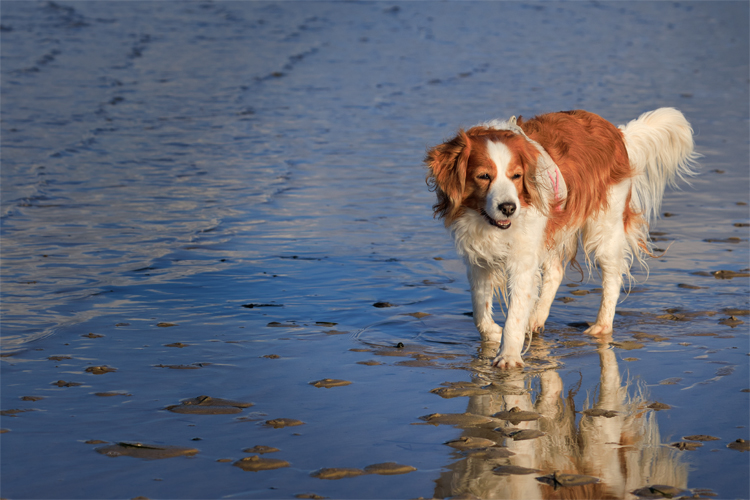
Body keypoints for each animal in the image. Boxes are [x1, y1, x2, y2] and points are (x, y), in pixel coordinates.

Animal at [428, 108, 700, 368]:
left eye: (516, 176)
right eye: (484, 176)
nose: (508, 208)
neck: (488, 222)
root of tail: (616, 131)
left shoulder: (523, 258)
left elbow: (515, 313)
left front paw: (508, 356)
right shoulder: (478, 260)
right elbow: (479, 311)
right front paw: (494, 333)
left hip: (604, 227)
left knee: (612, 277)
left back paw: (602, 326)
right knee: (557, 272)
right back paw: (536, 318)